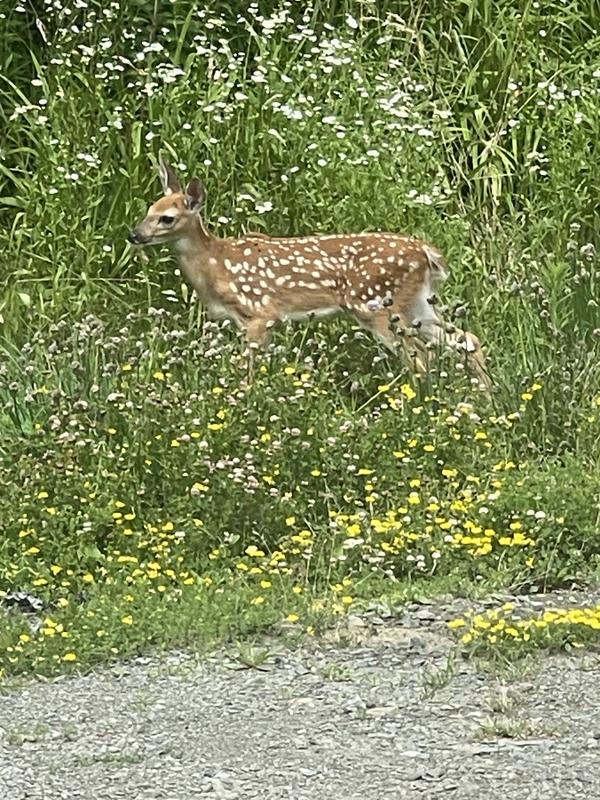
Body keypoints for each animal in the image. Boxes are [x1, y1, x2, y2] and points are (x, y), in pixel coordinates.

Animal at [128, 157, 492, 392]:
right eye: (149, 209)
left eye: (167, 218)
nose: (134, 235)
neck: (216, 265)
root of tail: (427, 254)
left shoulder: (261, 312)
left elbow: (247, 370)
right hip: (417, 304)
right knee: (466, 339)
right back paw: (486, 401)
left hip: (376, 305)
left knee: (421, 357)